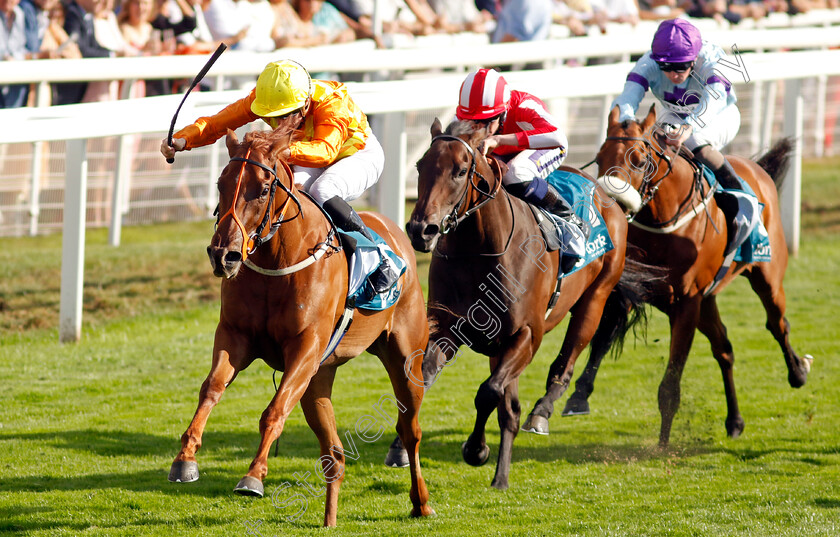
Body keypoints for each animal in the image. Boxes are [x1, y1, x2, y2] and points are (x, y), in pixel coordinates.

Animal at [168, 126, 436, 528]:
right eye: (220, 183)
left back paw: (421, 502)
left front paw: (253, 476)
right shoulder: (234, 336)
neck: (278, 259)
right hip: (318, 380)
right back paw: (330, 519)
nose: (223, 254)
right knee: (334, 454)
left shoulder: (305, 348)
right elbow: (211, 389)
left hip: (405, 360)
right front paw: (185, 459)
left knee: (410, 430)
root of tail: (396, 232)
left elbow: (274, 410)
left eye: (264, 188)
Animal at [404, 119, 648, 488]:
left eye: (460, 170)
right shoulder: (450, 328)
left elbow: (489, 392)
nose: (421, 229)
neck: (479, 251)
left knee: (564, 365)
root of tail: (607, 196)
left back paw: (541, 414)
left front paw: (476, 450)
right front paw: (400, 451)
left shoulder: (527, 336)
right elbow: (427, 377)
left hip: (594, 300)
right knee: (512, 407)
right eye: (420, 166)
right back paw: (502, 475)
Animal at [552, 103, 812, 444]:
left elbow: (670, 384)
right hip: (708, 300)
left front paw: (663, 445)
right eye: (600, 157)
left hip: (766, 275)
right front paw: (579, 396)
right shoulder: (638, 289)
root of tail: (756, 168)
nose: (612, 203)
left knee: (778, 323)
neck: (666, 221)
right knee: (724, 349)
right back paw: (735, 420)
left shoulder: (687, 303)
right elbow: (603, 335)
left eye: (639, 160)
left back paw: (798, 371)